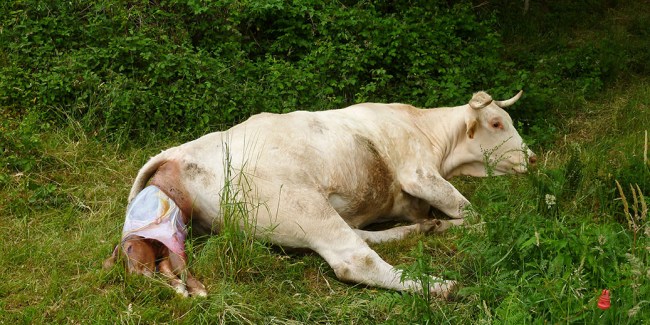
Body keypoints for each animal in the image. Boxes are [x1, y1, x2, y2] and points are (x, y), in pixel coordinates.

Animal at [104, 90, 536, 298]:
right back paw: (438, 286)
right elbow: (473, 214)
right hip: (303, 203)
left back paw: (424, 232)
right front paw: (462, 227)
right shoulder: (419, 173)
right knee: (355, 260)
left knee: (363, 239)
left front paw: (431, 224)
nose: (532, 158)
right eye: (497, 122)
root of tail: (178, 153)